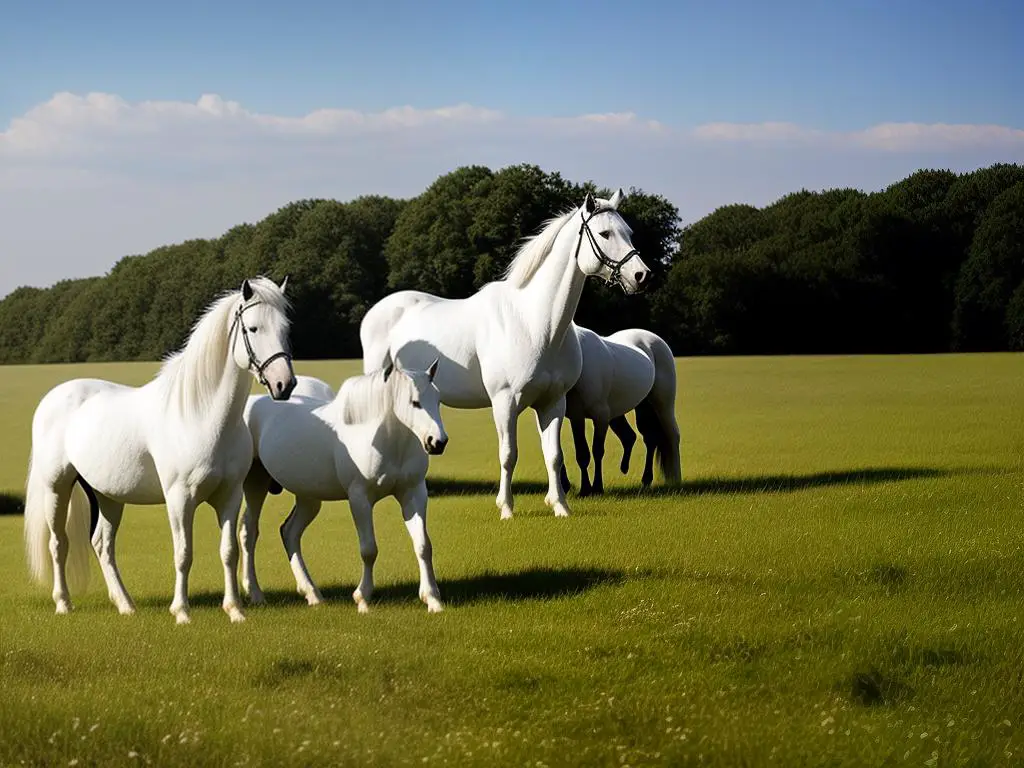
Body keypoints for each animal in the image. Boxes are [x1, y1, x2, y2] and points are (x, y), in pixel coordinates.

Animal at [23, 278, 296, 626]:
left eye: (286, 329)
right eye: (253, 328)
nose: (284, 384)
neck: (200, 415)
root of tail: (54, 396)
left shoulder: (230, 496)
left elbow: (229, 550)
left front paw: (235, 610)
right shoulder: (180, 498)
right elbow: (183, 553)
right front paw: (181, 612)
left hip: (108, 496)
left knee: (102, 544)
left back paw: (125, 605)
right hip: (56, 487)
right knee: (58, 543)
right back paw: (64, 604)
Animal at [241, 358, 450, 618]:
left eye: (438, 399)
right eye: (415, 402)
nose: (437, 442)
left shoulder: (413, 493)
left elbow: (423, 545)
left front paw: (432, 599)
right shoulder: (359, 498)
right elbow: (369, 549)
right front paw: (363, 599)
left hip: (308, 497)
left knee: (289, 532)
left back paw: (312, 594)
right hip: (254, 483)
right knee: (249, 532)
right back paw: (256, 594)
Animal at [360, 189, 647, 520]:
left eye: (629, 232)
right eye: (604, 233)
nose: (641, 275)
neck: (534, 323)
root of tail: (376, 312)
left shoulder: (553, 402)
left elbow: (554, 455)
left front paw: (560, 506)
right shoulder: (505, 402)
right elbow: (509, 454)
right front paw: (506, 508)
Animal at [561, 323, 679, 493]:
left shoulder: (601, 416)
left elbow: (597, 450)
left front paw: (597, 487)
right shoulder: (576, 416)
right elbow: (580, 453)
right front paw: (583, 489)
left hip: (663, 405)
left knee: (672, 435)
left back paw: (675, 478)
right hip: (642, 406)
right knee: (645, 438)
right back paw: (644, 478)